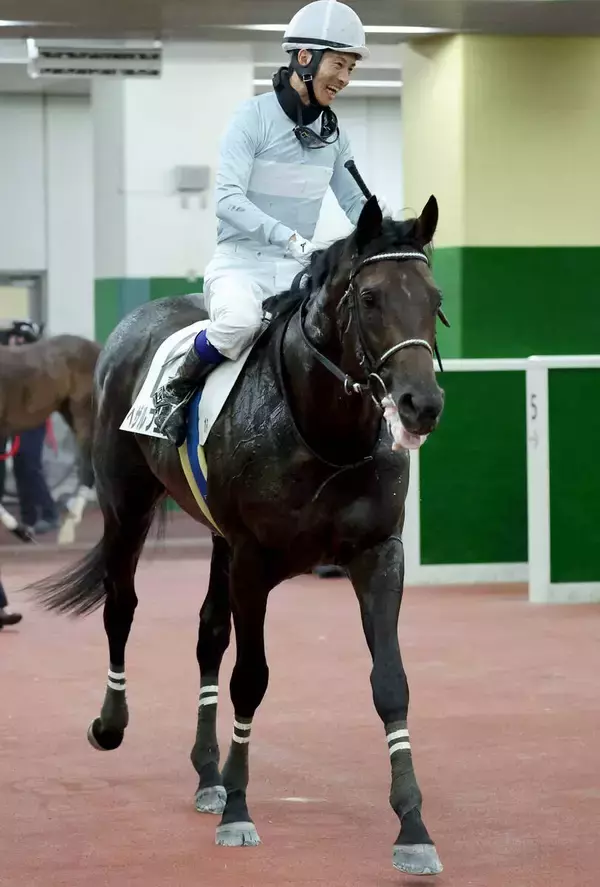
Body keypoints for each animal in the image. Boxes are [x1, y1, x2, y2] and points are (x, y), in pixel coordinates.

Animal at [31, 195, 448, 876]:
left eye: (433, 297)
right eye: (370, 298)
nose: (421, 404)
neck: (322, 430)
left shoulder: (377, 555)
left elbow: (390, 682)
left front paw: (413, 827)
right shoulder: (254, 560)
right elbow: (250, 677)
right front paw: (240, 812)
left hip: (217, 540)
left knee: (207, 634)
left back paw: (208, 775)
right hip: (125, 506)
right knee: (121, 606)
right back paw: (112, 723)